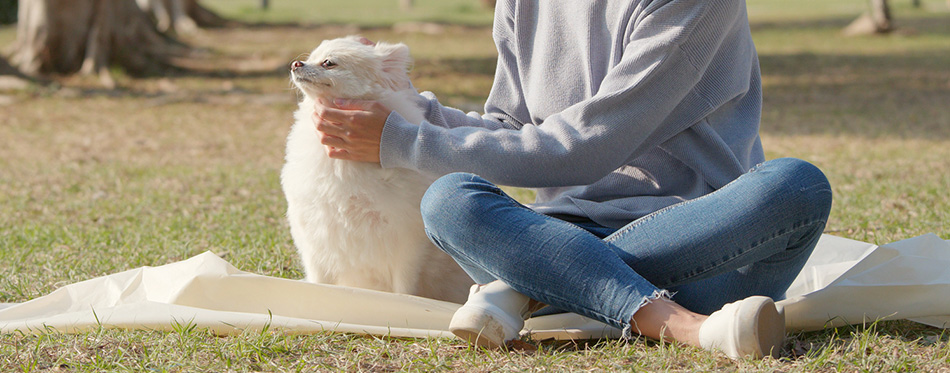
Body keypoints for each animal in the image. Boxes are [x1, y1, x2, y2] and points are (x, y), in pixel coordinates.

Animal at [282, 36, 476, 302]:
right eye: (310, 58)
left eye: (329, 63)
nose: (295, 63)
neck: (344, 164)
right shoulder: (315, 235)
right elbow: (319, 280)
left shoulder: (406, 241)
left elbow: (404, 288)